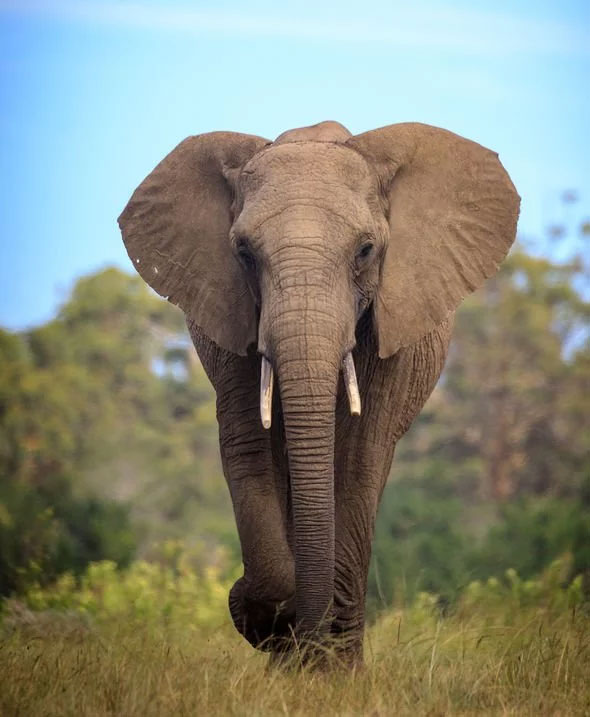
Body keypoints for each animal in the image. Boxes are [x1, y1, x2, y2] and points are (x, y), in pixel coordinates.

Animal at [118, 120, 519, 667]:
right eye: (243, 252)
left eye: (366, 250)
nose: (300, 641)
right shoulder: (232, 322)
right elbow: (248, 447)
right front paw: (267, 619)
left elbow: (357, 459)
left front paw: (324, 667)